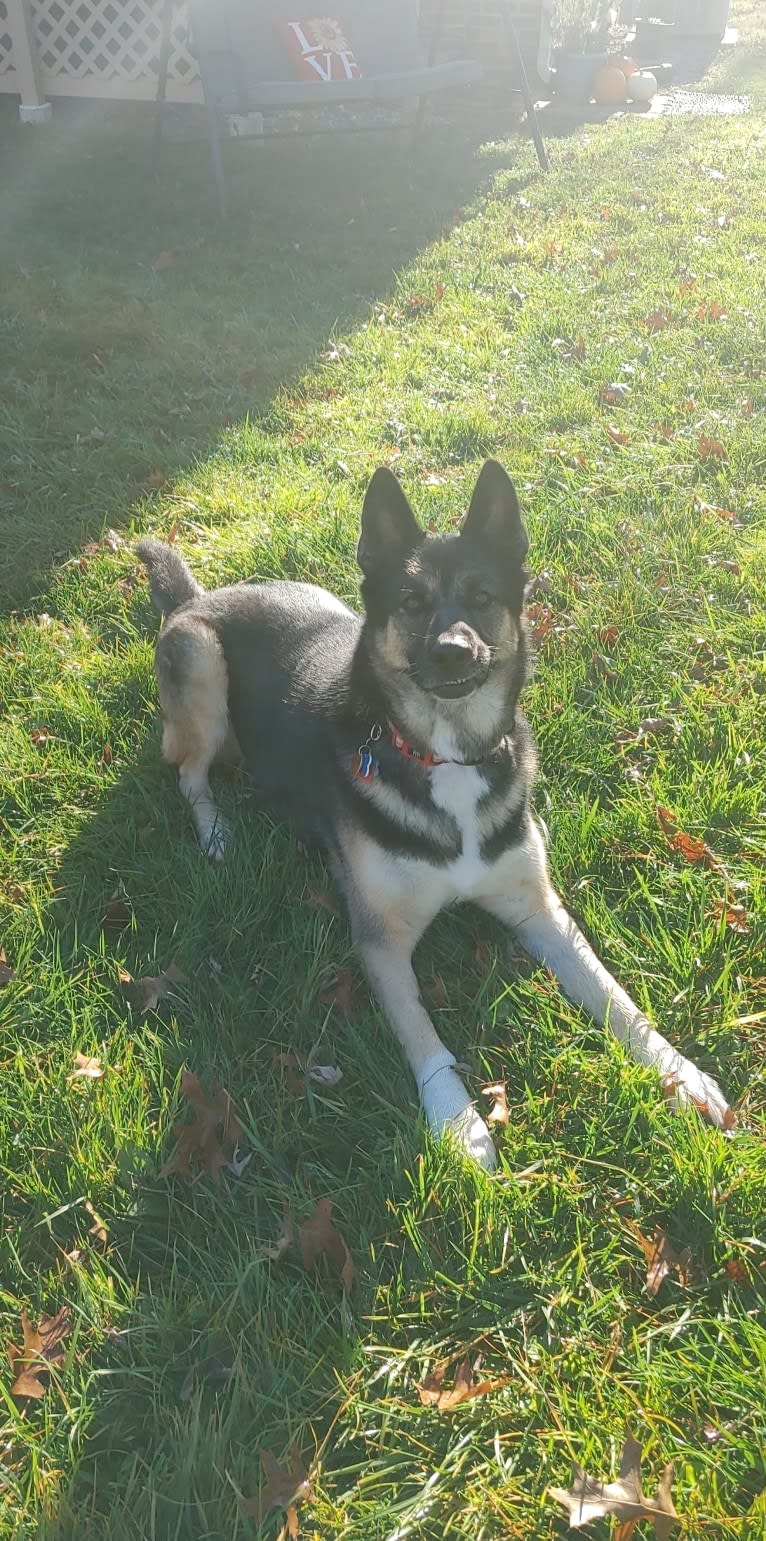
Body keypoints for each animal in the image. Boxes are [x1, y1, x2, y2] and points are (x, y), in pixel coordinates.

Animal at [135, 456, 727, 1164]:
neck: (446, 756)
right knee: (190, 774)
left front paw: (680, 1072)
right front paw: (457, 1121)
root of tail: (198, 599)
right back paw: (218, 831)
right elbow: (423, 1032)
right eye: (412, 603)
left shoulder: (539, 910)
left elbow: (615, 997)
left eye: (481, 597)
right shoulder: (382, 941)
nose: (452, 650)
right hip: (201, 667)